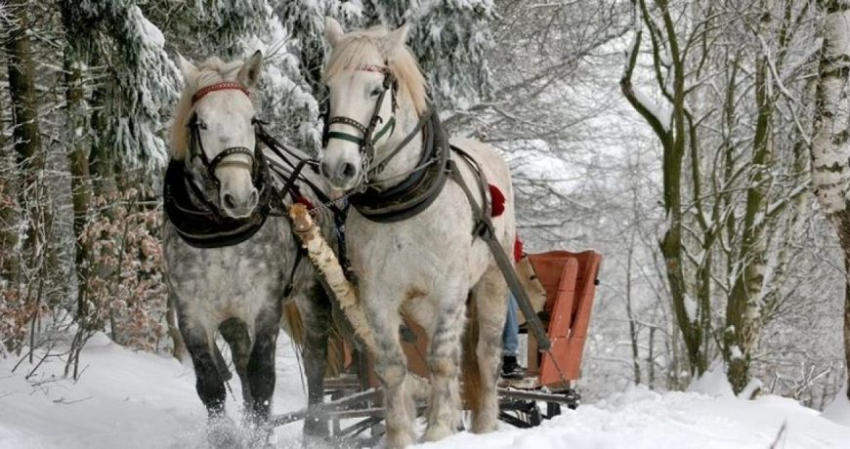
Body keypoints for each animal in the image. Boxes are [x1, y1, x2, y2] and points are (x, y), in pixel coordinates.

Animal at [320, 16, 512, 444]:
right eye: (329, 90)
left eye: (375, 89)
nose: (338, 167)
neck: (400, 200)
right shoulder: (378, 295)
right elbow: (393, 365)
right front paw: (401, 436)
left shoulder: (450, 289)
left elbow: (441, 360)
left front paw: (439, 431)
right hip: (420, 304)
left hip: (491, 281)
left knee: (485, 354)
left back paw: (486, 424)